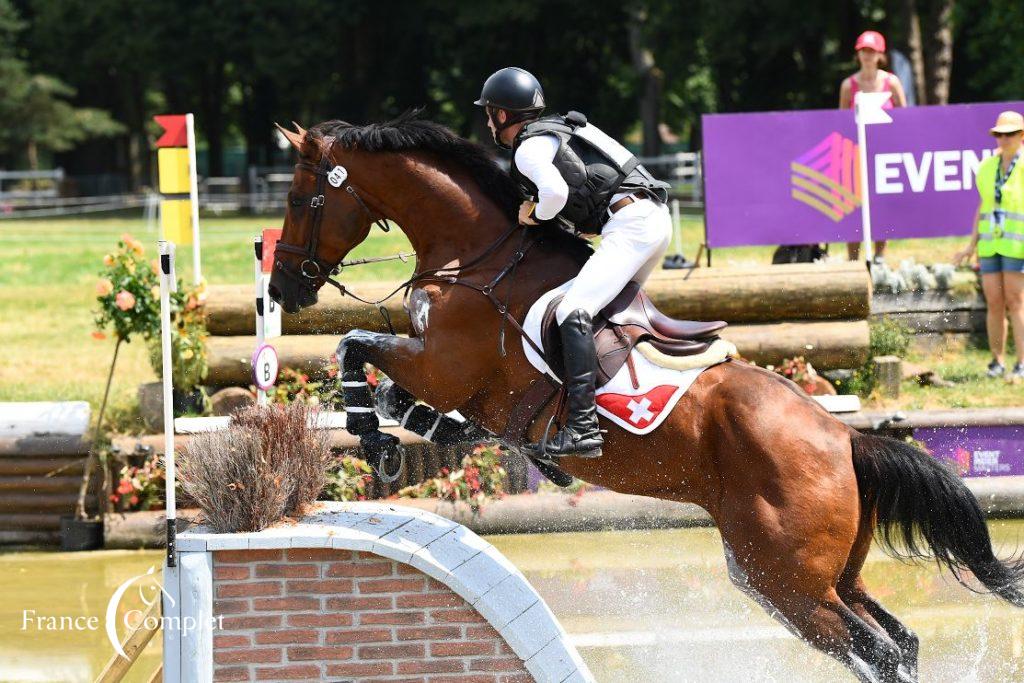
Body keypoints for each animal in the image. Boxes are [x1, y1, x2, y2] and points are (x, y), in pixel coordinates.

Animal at [266, 114, 1024, 679]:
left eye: (302, 200)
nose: (283, 290)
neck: (475, 255)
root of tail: (845, 437)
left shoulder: (445, 365)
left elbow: (355, 346)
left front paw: (374, 440)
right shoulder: (456, 385)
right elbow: (398, 393)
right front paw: (400, 435)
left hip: (790, 581)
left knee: (880, 652)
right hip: (819, 576)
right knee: (899, 642)